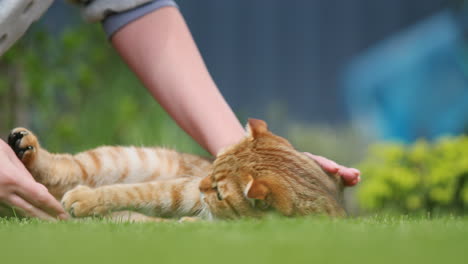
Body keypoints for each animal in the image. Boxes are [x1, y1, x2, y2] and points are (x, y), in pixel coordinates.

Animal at [6, 119, 344, 221]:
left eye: (219, 192)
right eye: (215, 162)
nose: (201, 184)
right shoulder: (179, 190)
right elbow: (132, 191)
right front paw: (87, 199)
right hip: (124, 159)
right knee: (64, 168)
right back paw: (25, 148)